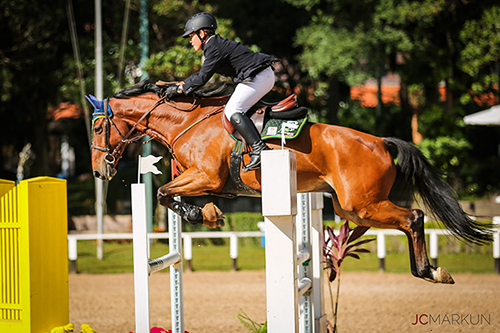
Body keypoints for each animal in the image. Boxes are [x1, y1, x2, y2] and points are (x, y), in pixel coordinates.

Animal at [89, 80, 492, 282]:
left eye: (96, 127)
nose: (98, 172)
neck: (188, 121)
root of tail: (380, 141)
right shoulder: (201, 179)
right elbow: (169, 194)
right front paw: (209, 214)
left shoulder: (205, 176)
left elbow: (161, 193)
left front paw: (204, 216)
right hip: (354, 209)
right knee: (398, 222)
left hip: (364, 204)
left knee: (414, 218)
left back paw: (429, 271)